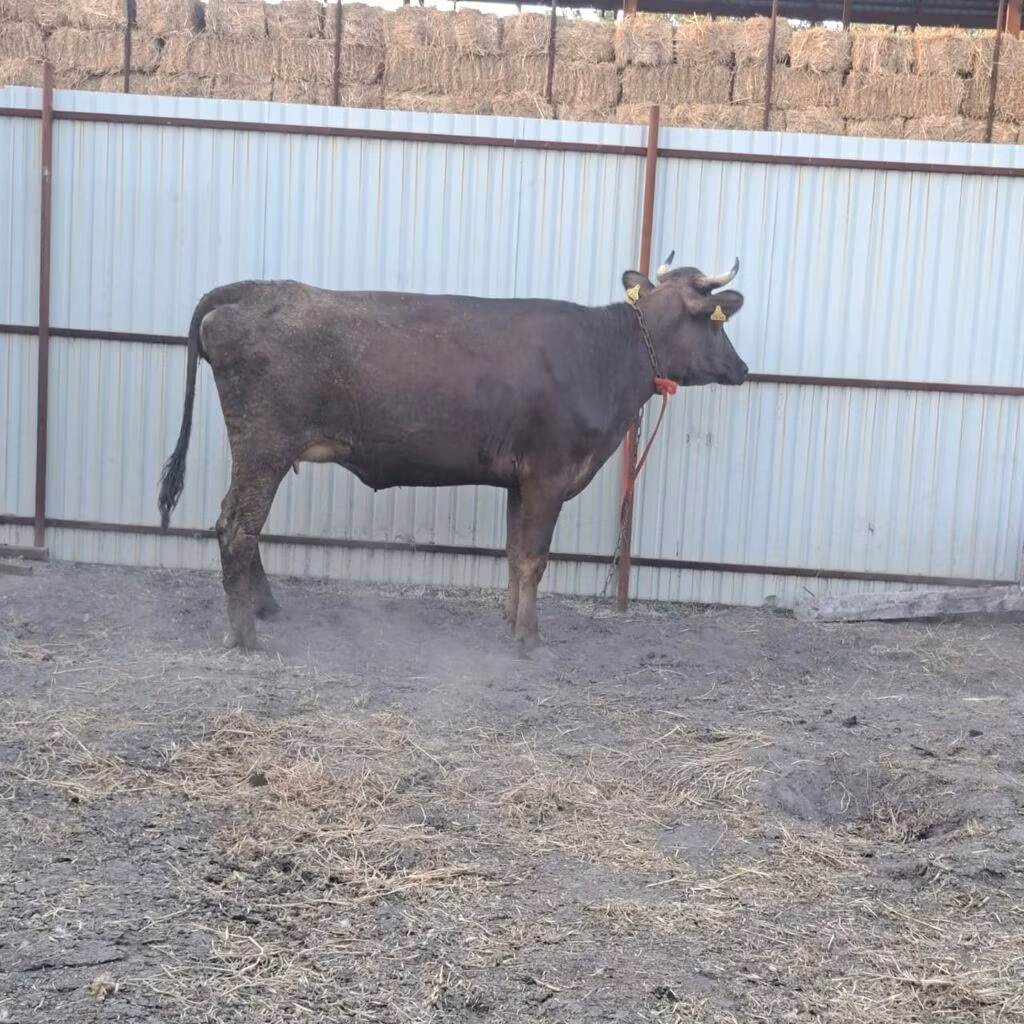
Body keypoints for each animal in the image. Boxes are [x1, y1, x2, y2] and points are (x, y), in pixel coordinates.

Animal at [157, 254, 749, 654]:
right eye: (714, 321)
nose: (743, 368)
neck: (605, 354)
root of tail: (251, 290)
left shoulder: (520, 479)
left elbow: (514, 552)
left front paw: (510, 620)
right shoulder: (550, 474)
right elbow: (535, 557)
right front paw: (531, 640)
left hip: (261, 451)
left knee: (236, 523)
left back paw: (265, 608)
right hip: (263, 446)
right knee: (237, 525)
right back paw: (244, 635)